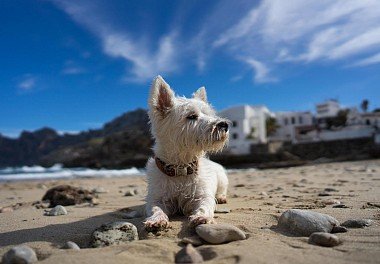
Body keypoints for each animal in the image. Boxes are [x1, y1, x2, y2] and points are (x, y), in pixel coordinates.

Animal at [144, 75, 229, 231]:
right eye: (191, 116)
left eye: (207, 114)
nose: (224, 124)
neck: (181, 167)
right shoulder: (157, 197)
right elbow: (155, 208)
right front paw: (156, 220)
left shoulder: (202, 195)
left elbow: (205, 205)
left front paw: (202, 217)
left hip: (222, 179)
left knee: (222, 189)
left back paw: (221, 197)